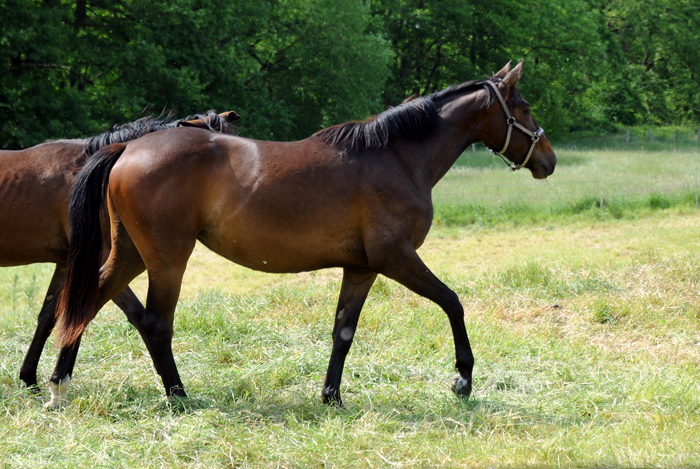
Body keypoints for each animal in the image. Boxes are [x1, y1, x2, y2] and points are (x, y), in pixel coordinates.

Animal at [56, 61, 556, 406]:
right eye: (526, 108)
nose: (548, 160)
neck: (396, 157)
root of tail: (128, 147)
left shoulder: (361, 268)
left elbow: (343, 331)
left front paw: (331, 396)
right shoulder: (397, 258)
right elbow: (453, 302)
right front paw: (462, 379)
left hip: (129, 254)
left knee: (87, 301)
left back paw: (60, 383)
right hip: (166, 259)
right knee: (155, 323)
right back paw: (178, 395)